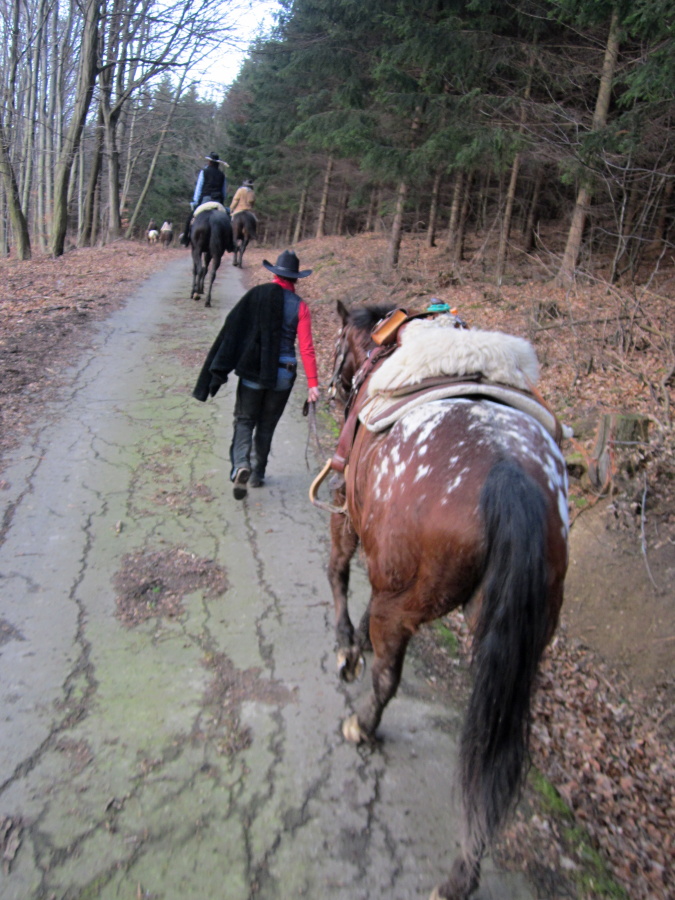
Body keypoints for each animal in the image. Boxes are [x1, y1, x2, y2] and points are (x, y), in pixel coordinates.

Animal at [324, 302, 568, 900]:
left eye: (337, 343)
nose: (335, 390)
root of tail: (509, 473)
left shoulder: (346, 508)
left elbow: (339, 575)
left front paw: (346, 648)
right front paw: (356, 643)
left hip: (406, 599)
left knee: (388, 675)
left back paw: (363, 725)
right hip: (515, 632)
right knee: (492, 746)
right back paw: (463, 872)